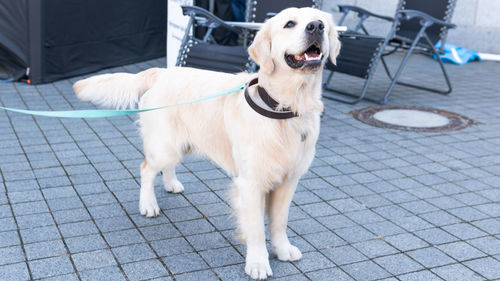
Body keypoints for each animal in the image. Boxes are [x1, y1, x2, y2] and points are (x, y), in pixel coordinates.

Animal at [73, 7, 340, 278]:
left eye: (322, 23)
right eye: (289, 24)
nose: (316, 27)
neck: (286, 108)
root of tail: (161, 72)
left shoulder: (289, 180)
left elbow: (279, 222)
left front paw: (282, 250)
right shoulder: (251, 183)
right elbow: (255, 228)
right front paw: (257, 263)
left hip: (180, 143)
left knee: (166, 167)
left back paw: (171, 184)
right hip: (165, 145)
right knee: (146, 168)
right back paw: (148, 204)